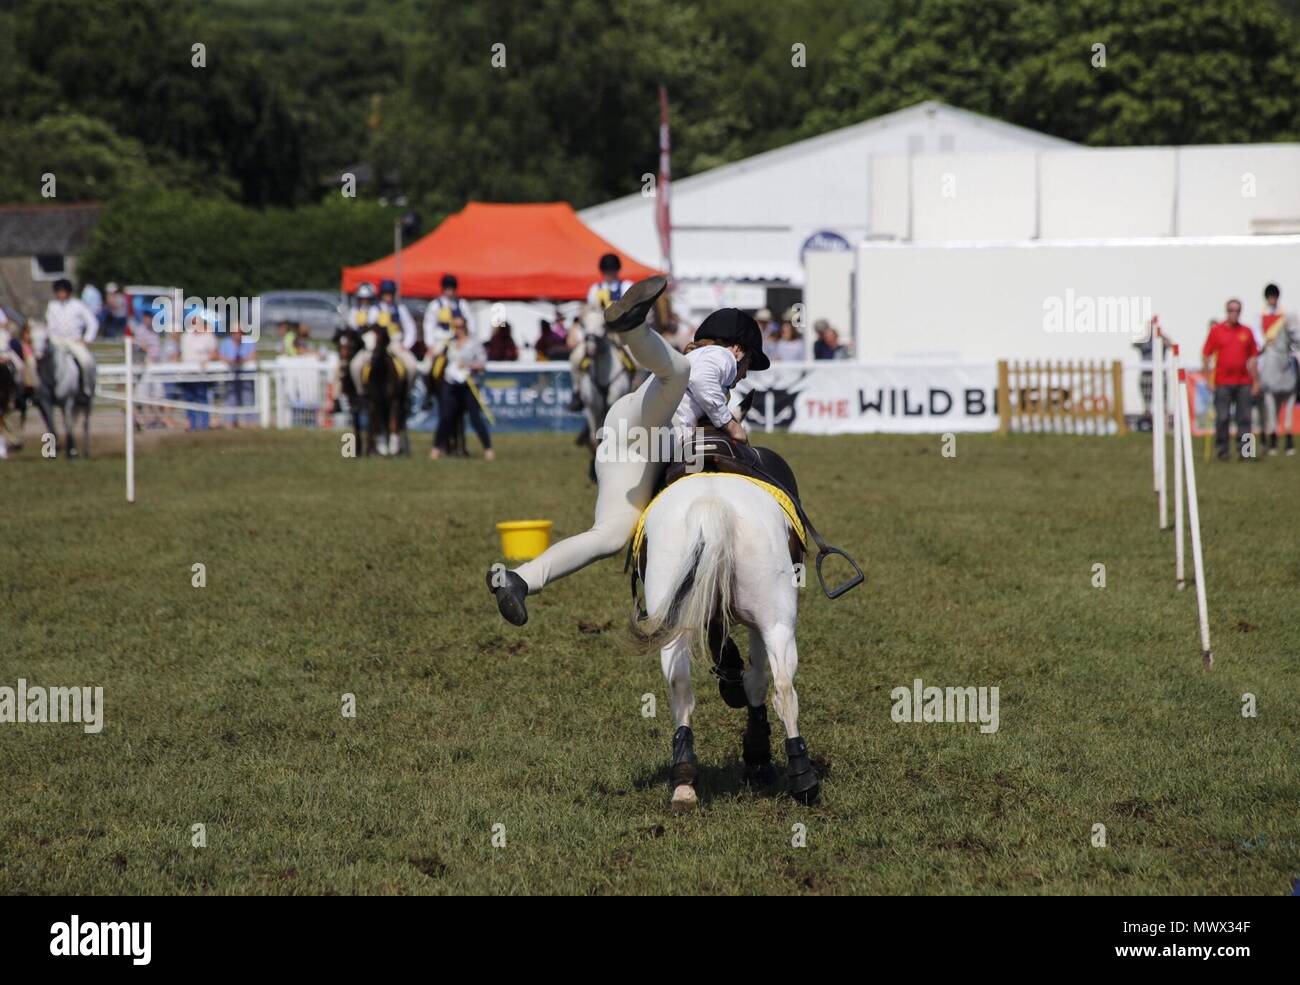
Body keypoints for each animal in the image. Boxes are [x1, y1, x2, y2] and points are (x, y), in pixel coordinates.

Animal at [29, 327, 94, 460]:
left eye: (46, 339)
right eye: (31, 338)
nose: (38, 357)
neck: (54, 376)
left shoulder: (68, 402)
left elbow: (68, 425)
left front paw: (71, 452)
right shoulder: (46, 402)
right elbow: (51, 425)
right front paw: (53, 452)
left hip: (88, 403)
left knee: (85, 425)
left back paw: (86, 452)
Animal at [626, 475, 811, 816]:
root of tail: (710, 507)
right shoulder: (753, 625)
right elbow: (755, 680)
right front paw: (757, 758)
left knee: (682, 689)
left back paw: (684, 784)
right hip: (775, 620)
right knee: (781, 687)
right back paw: (802, 780)